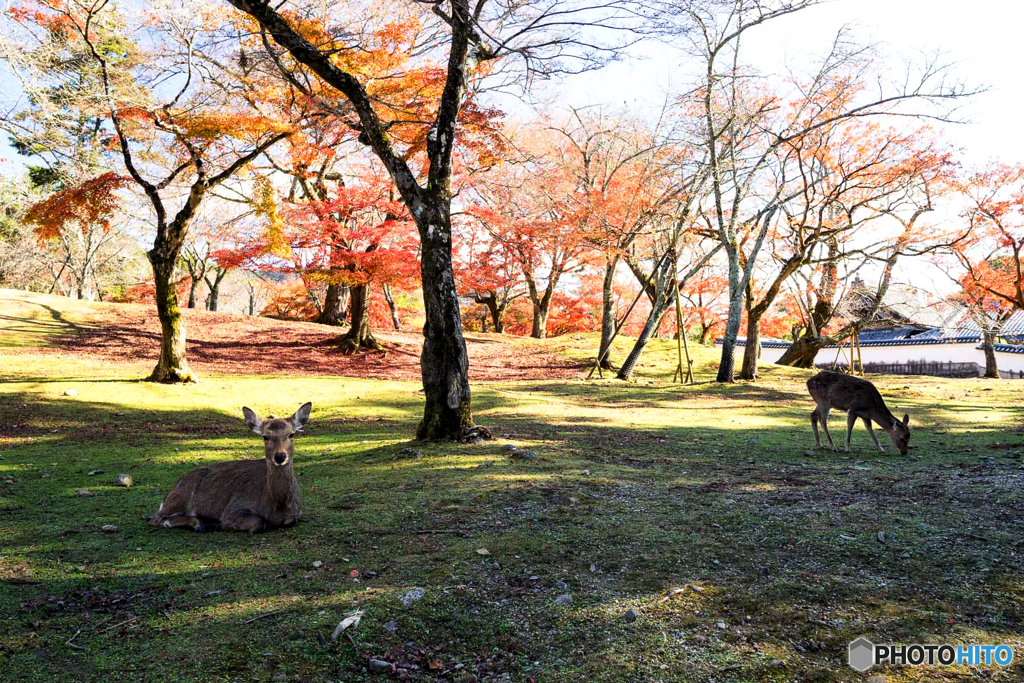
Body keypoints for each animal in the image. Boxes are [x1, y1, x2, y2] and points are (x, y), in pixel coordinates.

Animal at [146, 401, 309, 532]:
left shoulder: (296, 513)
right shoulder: (235, 507)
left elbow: (290, 521)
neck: (278, 504)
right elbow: (258, 522)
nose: (280, 456)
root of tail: (170, 491)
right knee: (156, 518)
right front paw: (222, 524)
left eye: (291, 434)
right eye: (265, 437)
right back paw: (199, 524)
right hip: (181, 495)